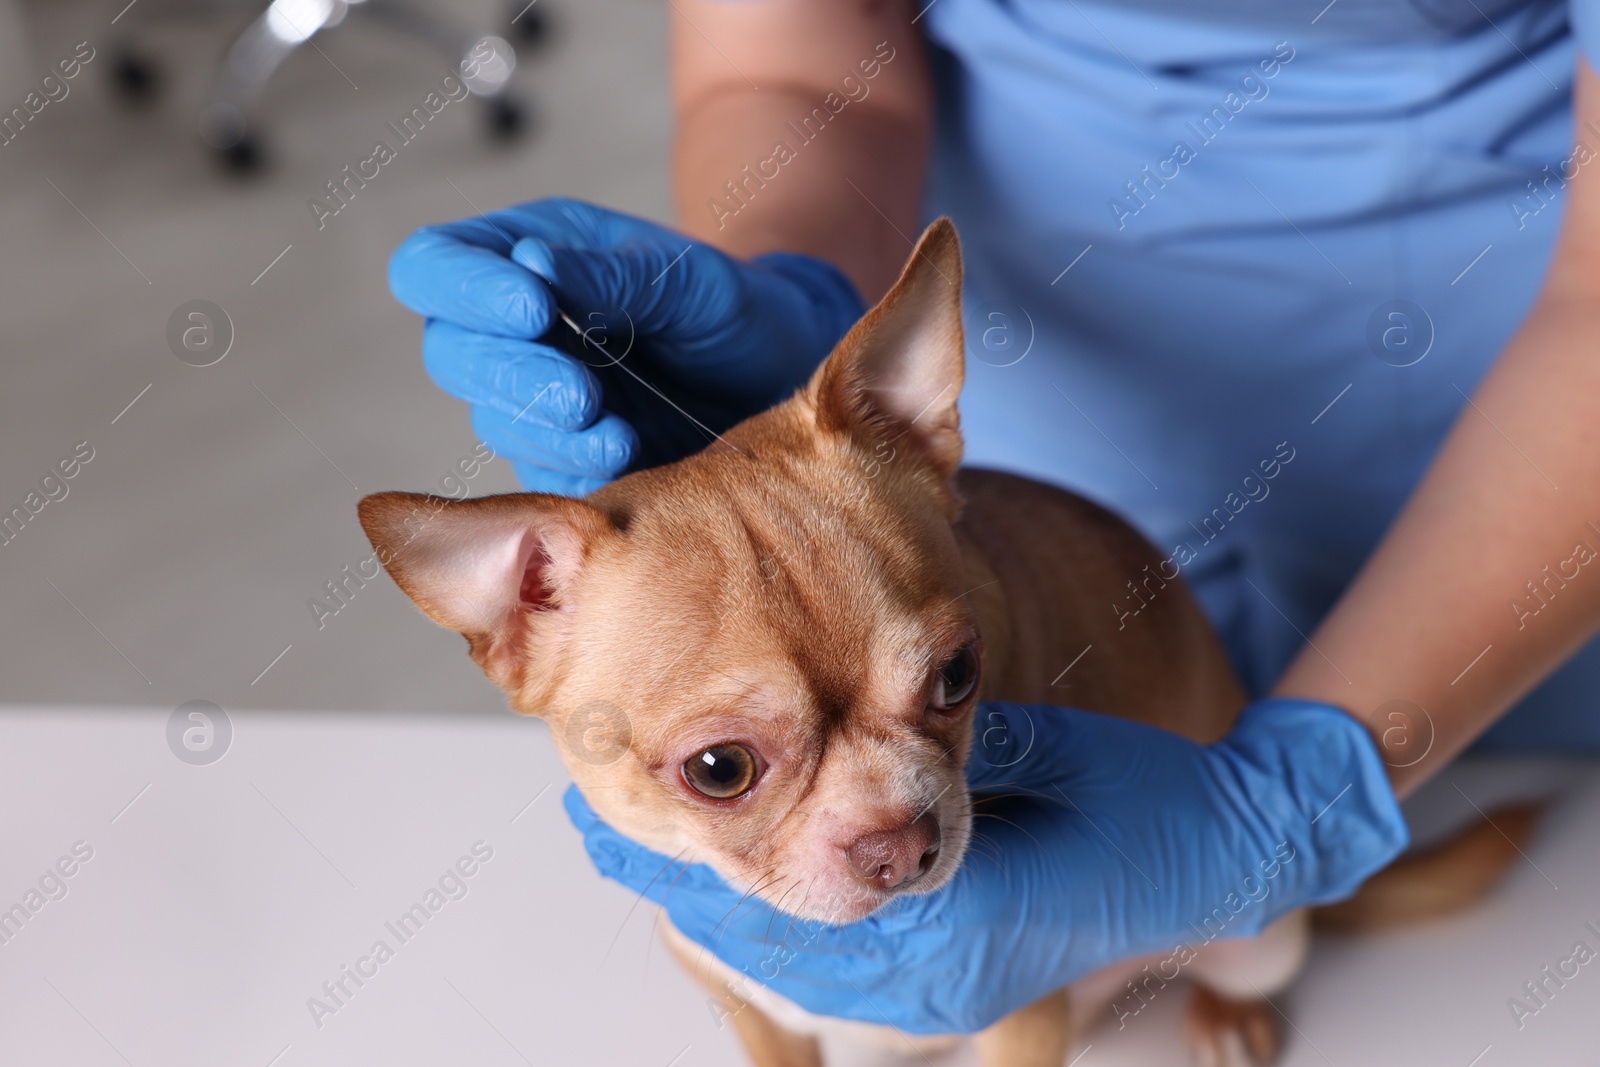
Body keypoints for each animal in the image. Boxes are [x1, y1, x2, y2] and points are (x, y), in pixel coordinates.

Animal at [366, 219, 1536, 1067]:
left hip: (1260, 934)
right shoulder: (758, 1016)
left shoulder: (1021, 1018)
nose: (899, 840)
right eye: (718, 769)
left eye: (957, 679)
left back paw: (1219, 1014)